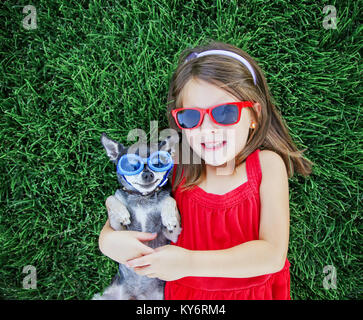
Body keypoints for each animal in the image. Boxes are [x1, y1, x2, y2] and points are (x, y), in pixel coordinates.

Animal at [92, 133, 183, 300]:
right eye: (131, 166)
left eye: (158, 163)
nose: (147, 173)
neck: (143, 198)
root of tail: (135, 296)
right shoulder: (118, 230)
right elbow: (110, 198)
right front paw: (122, 213)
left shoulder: (173, 234)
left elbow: (169, 199)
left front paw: (169, 218)